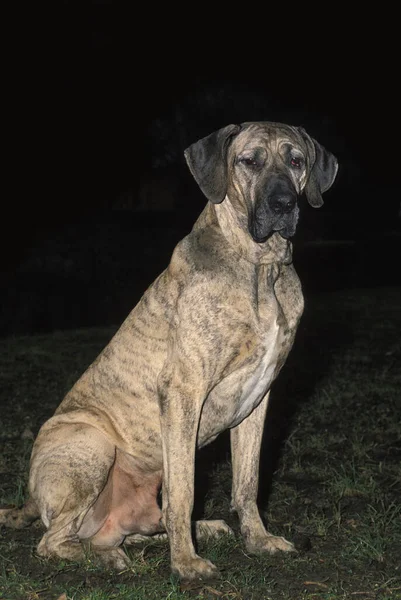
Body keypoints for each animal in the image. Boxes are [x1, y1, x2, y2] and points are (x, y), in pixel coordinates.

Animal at [0, 120, 338, 580]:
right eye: (249, 161)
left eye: (296, 161)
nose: (283, 203)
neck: (260, 268)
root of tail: (31, 501)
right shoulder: (182, 392)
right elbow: (184, 492)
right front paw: (187, 563)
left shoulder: (258, 400)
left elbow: (247, 483)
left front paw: (258, 539)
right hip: (91, 444)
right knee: (53, 542)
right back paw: (109, 557)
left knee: (129, 530)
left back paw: (199, 529)